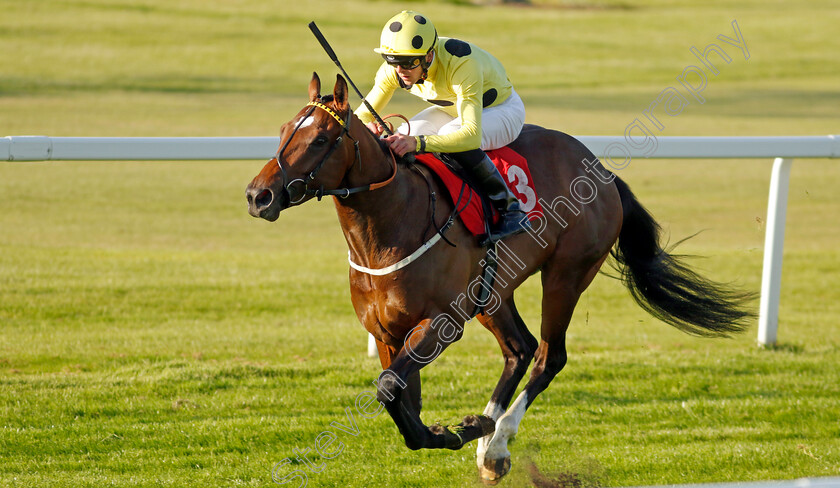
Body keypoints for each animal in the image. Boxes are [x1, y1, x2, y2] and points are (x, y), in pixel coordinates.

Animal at [244, 74, 756, 482]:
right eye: (285, 131)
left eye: (320, 139)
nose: (258, 195)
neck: (390, 224)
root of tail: (602, 170)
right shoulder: (387, 332)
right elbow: (402, 400)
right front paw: (457, 429)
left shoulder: (441, 323)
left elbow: (390, 390)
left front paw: (462, 430)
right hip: (493, 290)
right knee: (519, 349)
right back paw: (490, 444)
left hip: (566, 275)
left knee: (548, 355)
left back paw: (496, 440)